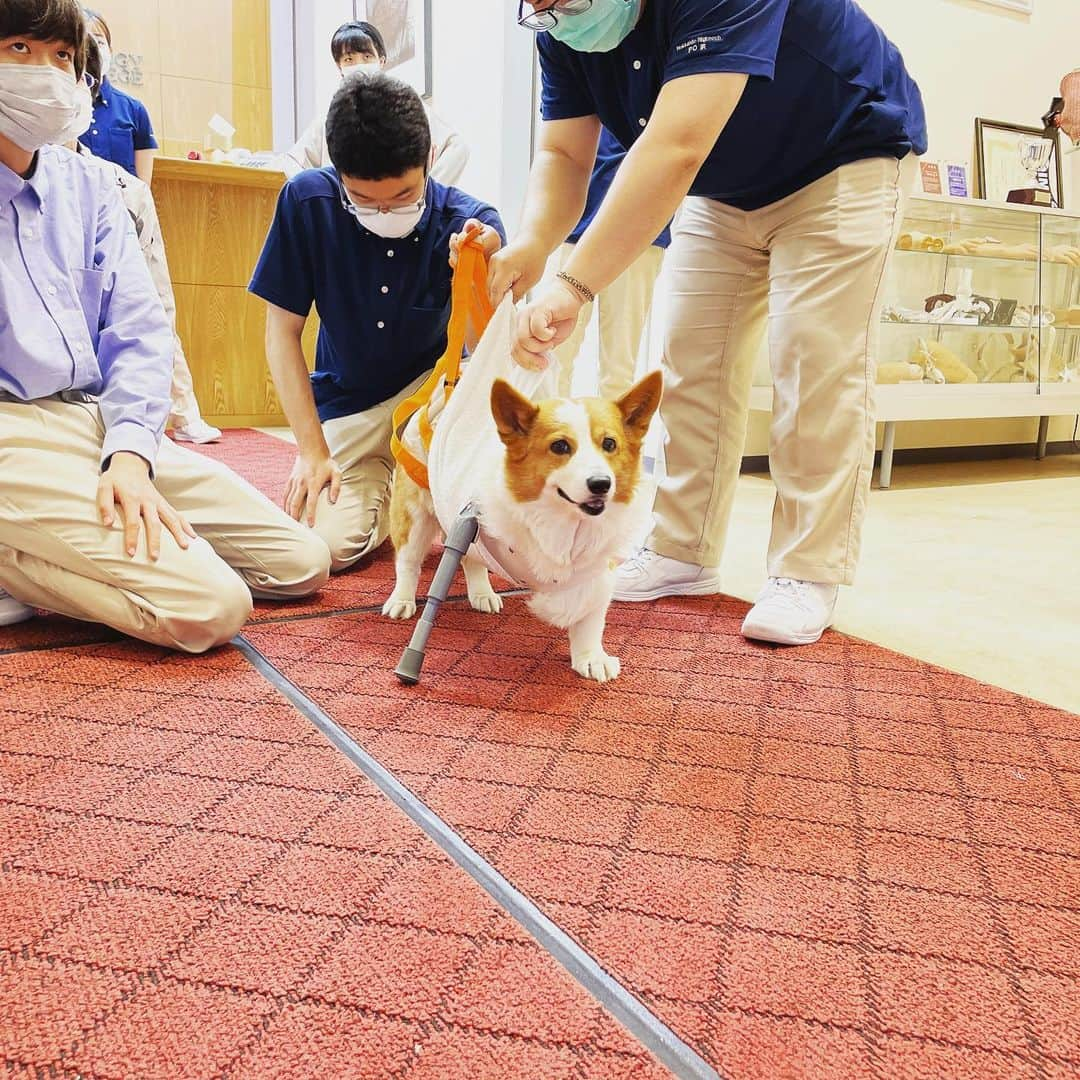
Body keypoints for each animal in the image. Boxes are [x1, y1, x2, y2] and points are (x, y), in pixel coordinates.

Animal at [384, 367, 660, 678]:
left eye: (609, 444)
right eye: (560, 446)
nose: (601, 484)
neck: (563, 523)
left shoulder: (596, 570)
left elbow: (590, 618)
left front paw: (591, 658)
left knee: (472, 559)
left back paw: (482, 594)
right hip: (416, 517)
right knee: (408, 561)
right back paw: (401, 600)